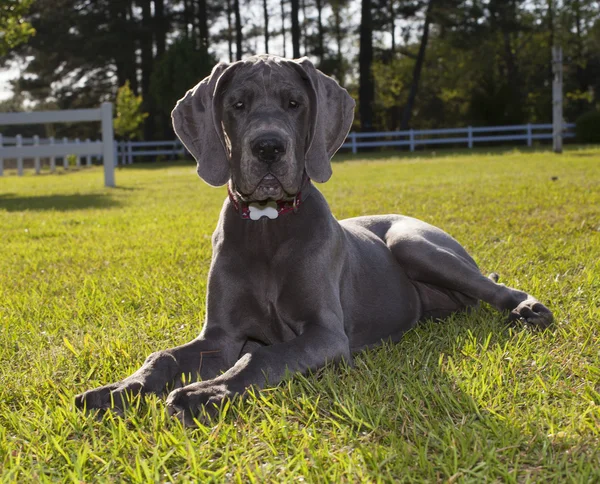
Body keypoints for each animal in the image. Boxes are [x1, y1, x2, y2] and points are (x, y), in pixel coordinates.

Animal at [75, 54, 552, 428]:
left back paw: (528, 309)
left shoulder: (326, 334)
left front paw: (205, 393)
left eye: (294, 103)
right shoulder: (222, 335)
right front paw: (119, 389)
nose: (269, 148)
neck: (267, 225)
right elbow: (165, 356)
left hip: (411, 241)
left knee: (496, 287)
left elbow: (262, 358)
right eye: (237, 105)